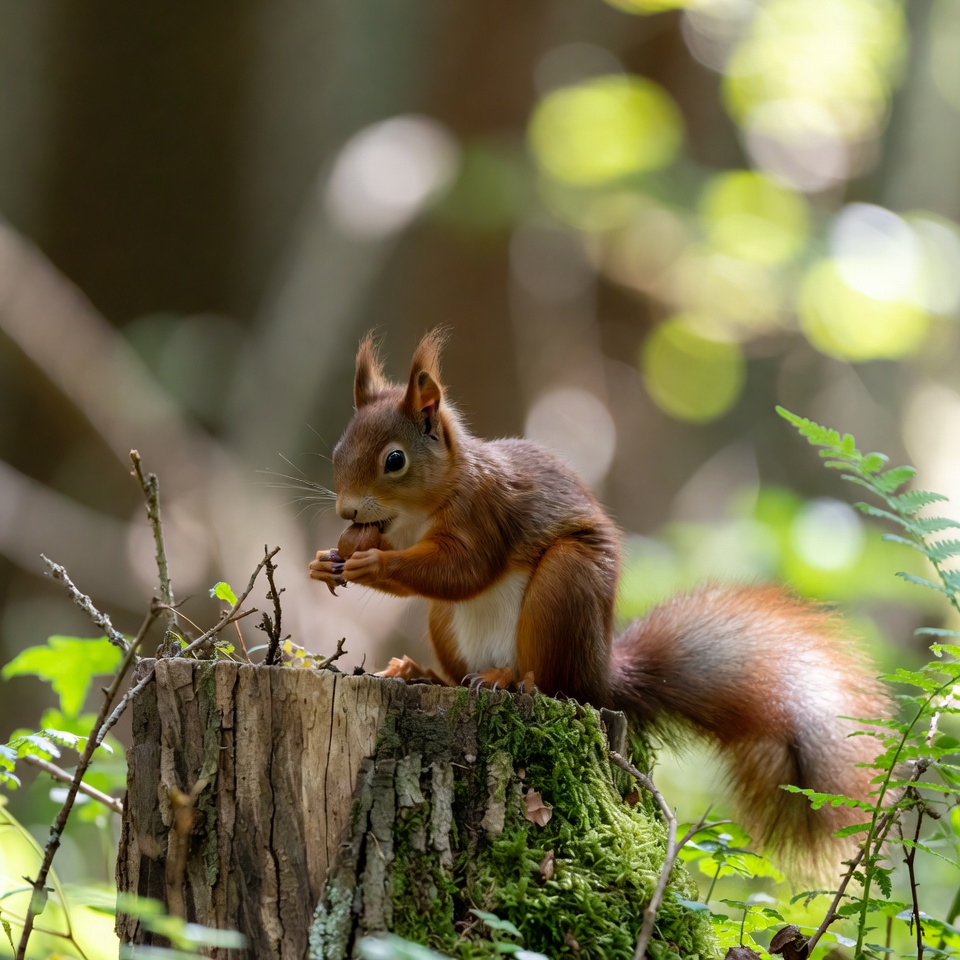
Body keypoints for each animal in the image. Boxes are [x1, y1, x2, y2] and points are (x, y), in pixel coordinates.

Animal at [309, 330, 889, 869]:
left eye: (395, 460)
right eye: (337, 452)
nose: (345, 511)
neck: (419, 513)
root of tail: (601, 672)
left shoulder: (485, 514)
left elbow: (461, 571)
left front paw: (371, 564)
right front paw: (327, 561)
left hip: (566, 588)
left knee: (555, 683)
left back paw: (510, 680)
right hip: (447, 626)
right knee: (459, 671)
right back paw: (422, 673)